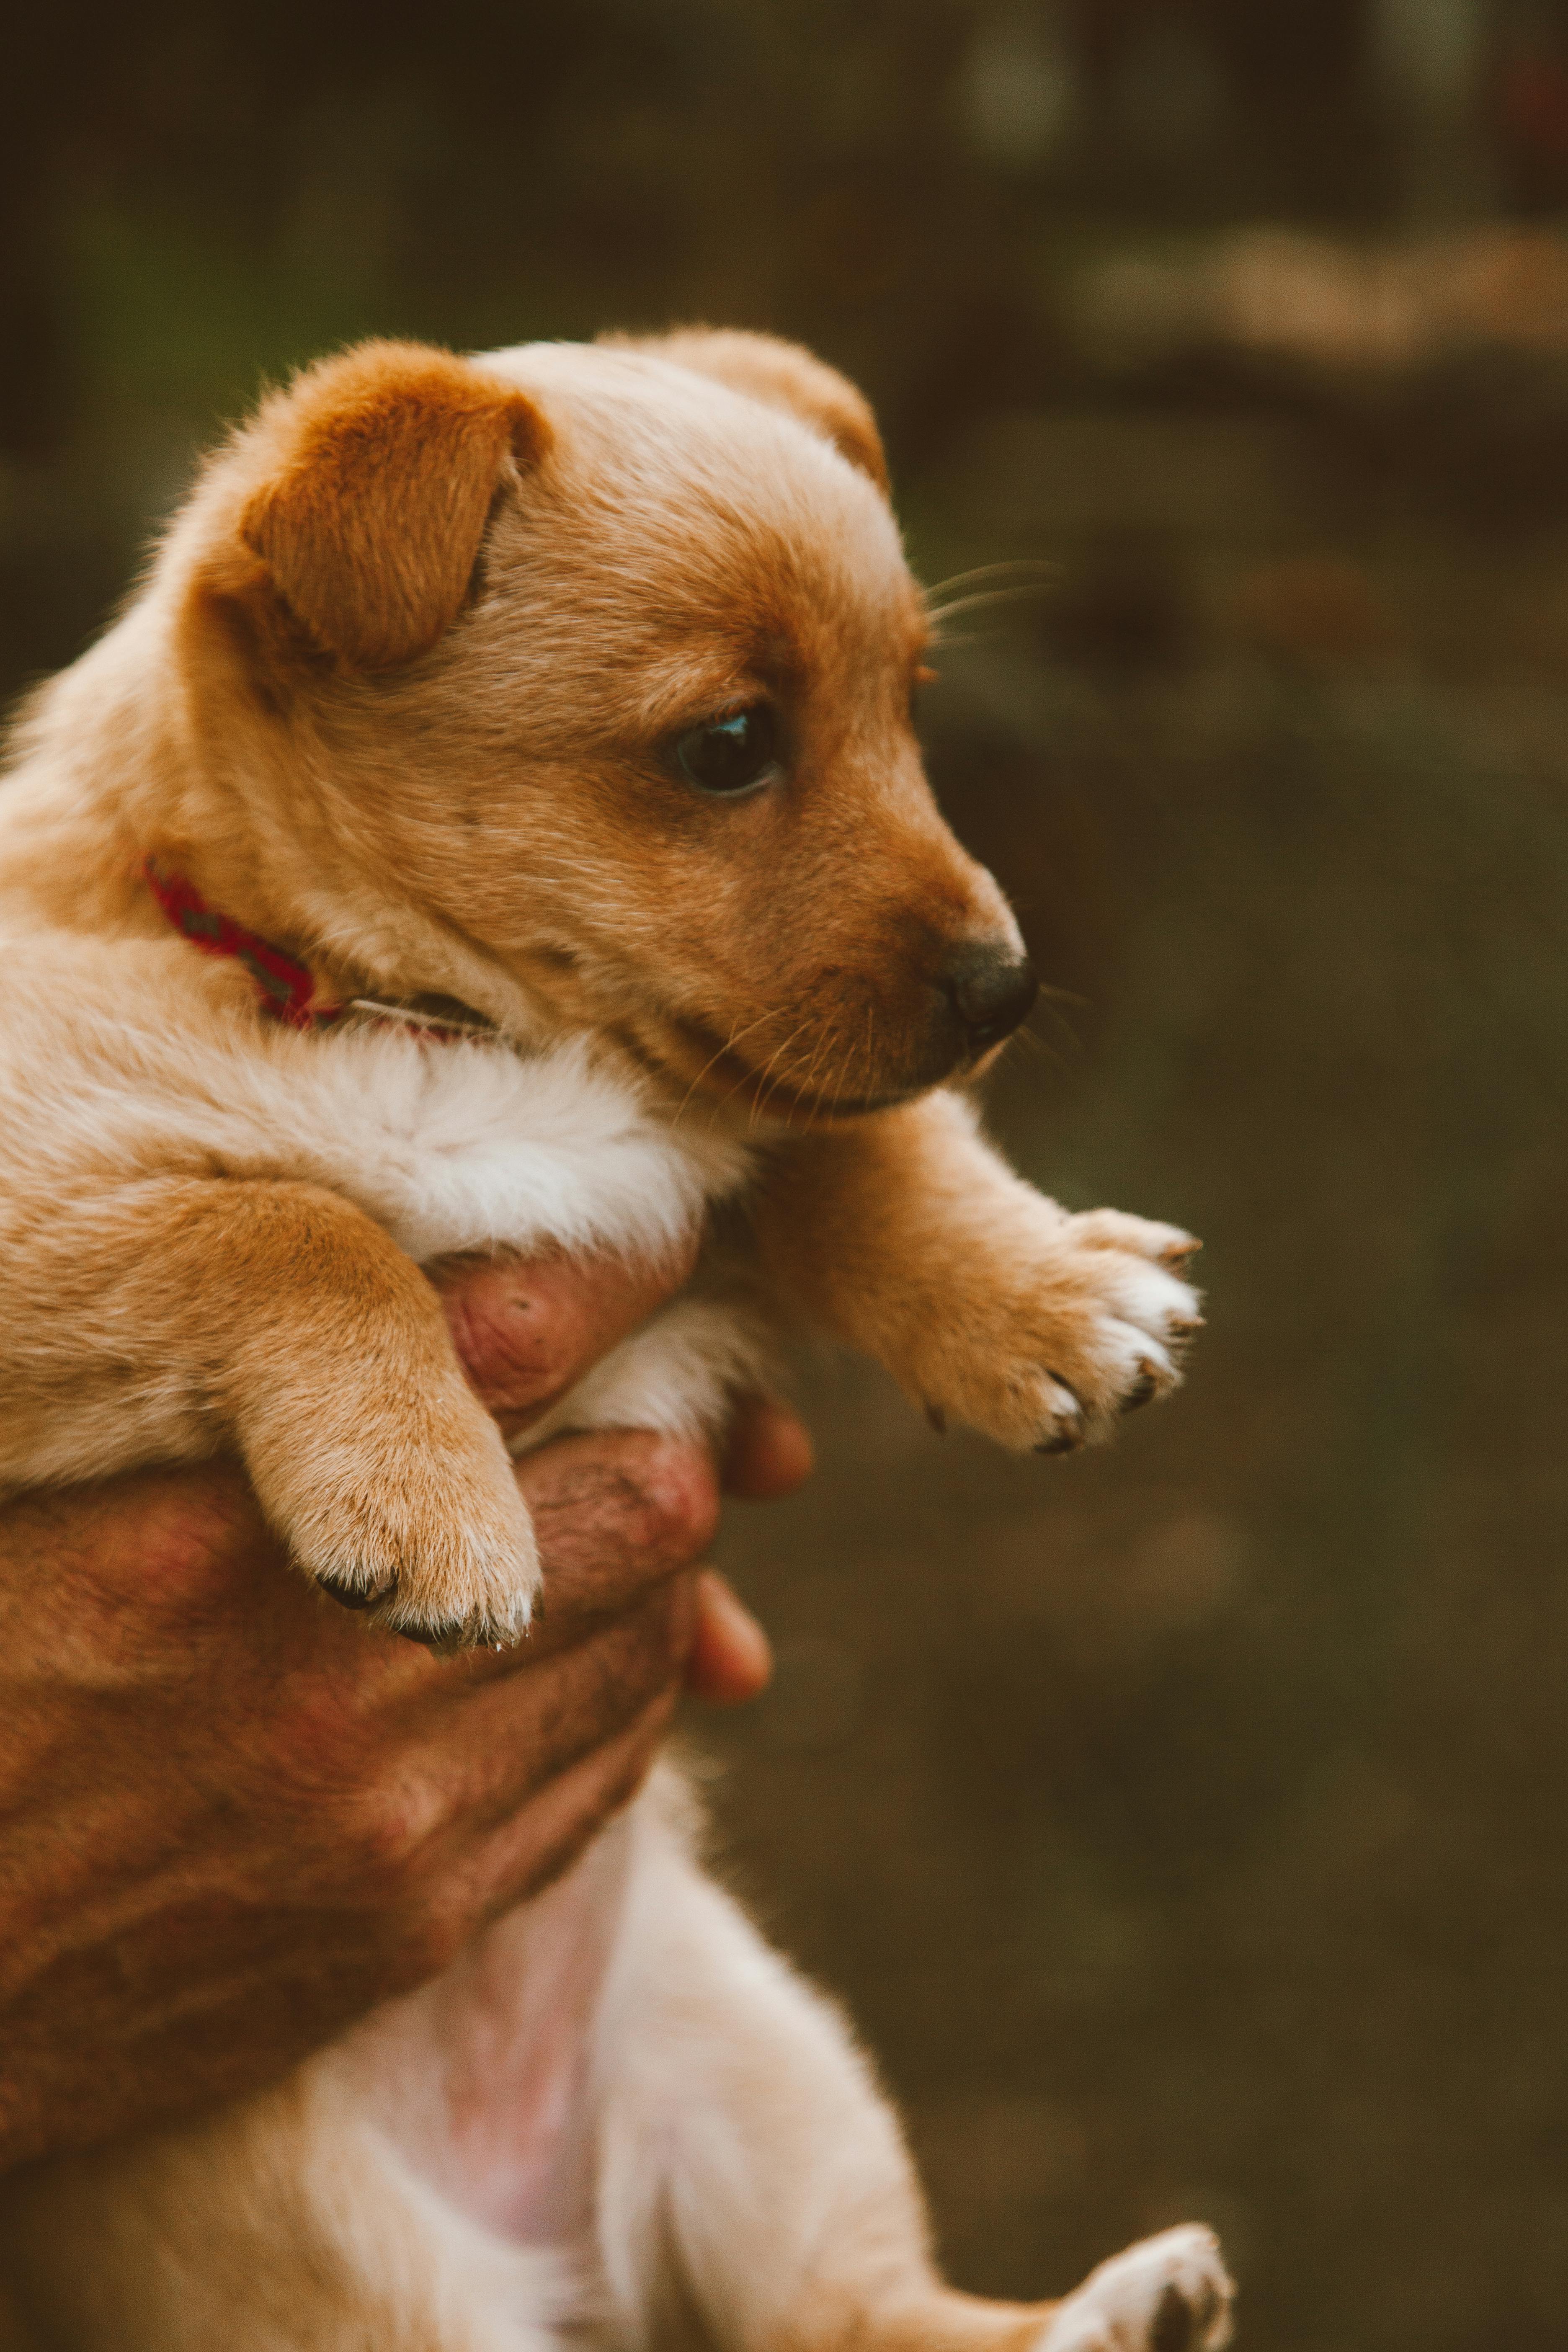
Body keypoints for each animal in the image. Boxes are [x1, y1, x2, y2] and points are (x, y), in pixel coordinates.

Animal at [0, 336, 1222, 2352]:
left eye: (908, 710)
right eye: (726, 746)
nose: (1009, 987)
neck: (445, 1030)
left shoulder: (703, 1155)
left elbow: (846, 1144)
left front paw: (1033, 1291)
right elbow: (298, 1225)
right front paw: (432, 1499)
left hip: (752, 2050)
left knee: (855, 2311)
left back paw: (1124, 2310)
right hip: (355, 2279)